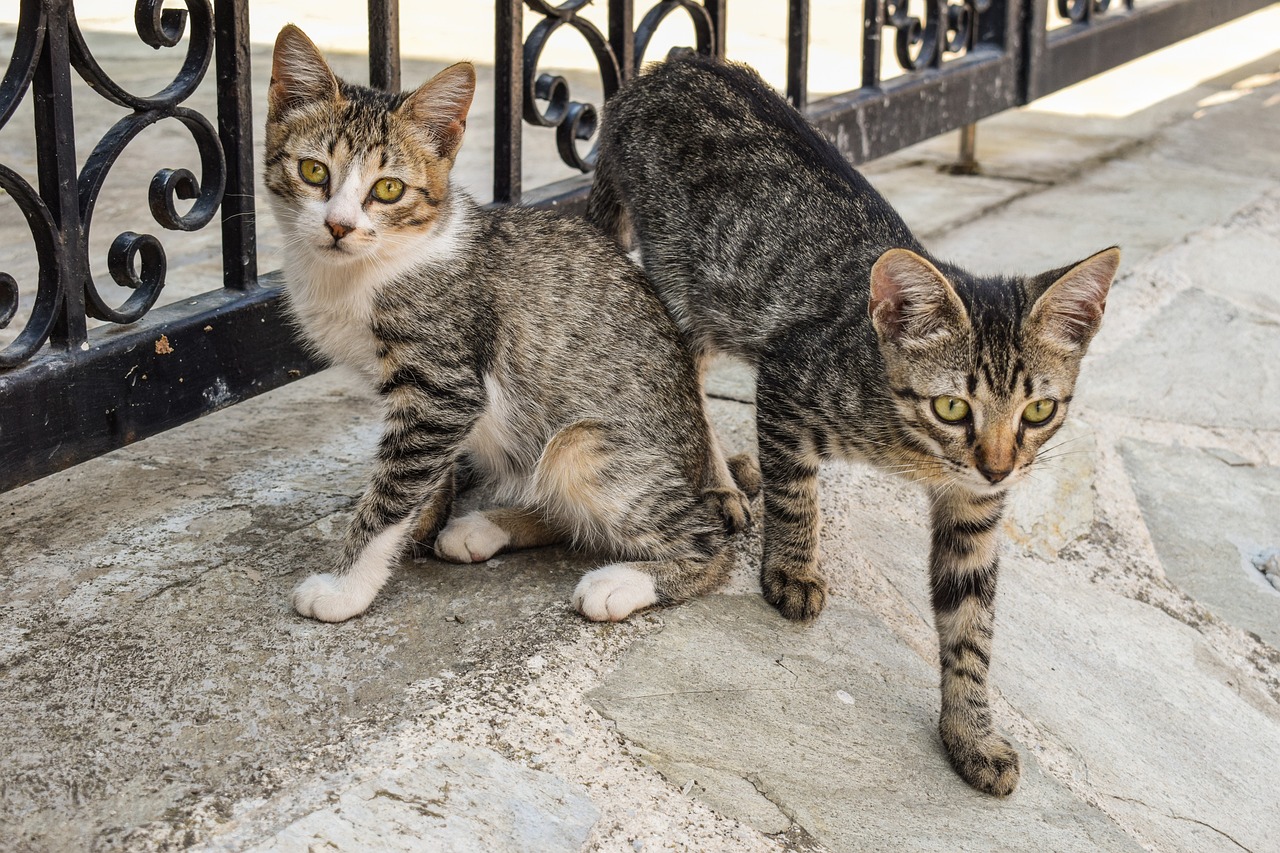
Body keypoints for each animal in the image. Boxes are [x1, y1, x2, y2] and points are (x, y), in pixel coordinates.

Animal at [264, 26, 752, 625]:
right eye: (314, 172)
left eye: (388, 189)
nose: (338, 225)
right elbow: (425, 475)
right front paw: (422, 524)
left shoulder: (444, 387)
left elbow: (395, 488)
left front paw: (347, 584)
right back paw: (487, 526)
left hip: (583, 443)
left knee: (706, 539)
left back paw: (625, 581)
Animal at [588, 54, 1121, 799]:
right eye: (952, 407)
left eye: (1038, 412)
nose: (998, 466)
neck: (916, 450)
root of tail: (667, 68)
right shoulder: (788, 382)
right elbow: (796, 495)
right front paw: (792, 569)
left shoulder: (975, 511)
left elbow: (971, 626)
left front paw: (971, 732)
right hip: (687, 288)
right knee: (682, 377)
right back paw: (719, 482)